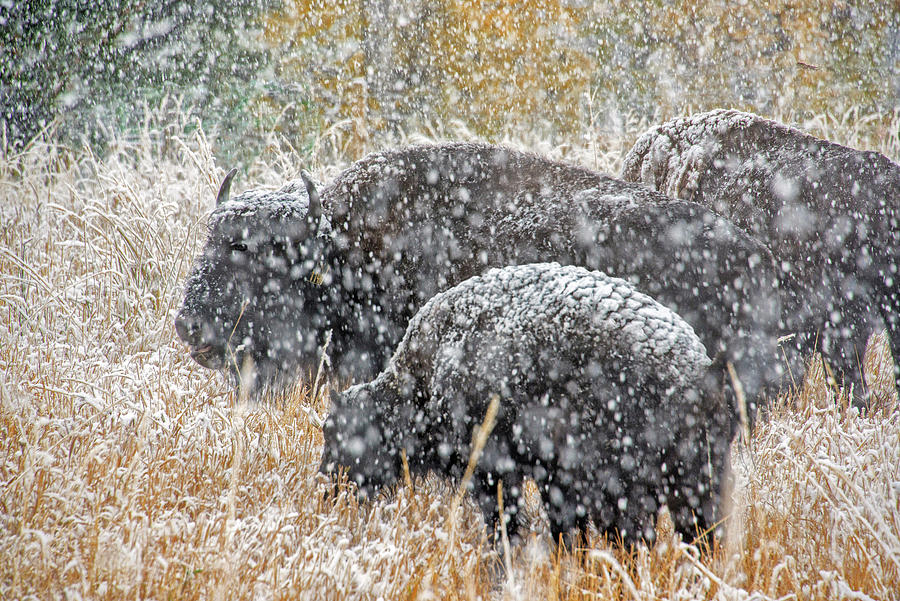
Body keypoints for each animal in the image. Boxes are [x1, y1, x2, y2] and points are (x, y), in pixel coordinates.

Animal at [322, 262, 732, 540]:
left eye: (336, 432)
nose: (329, 491)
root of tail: (700, 370)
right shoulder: (554, 480)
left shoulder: (496, 473)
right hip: (697, 486)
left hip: (629, 488)